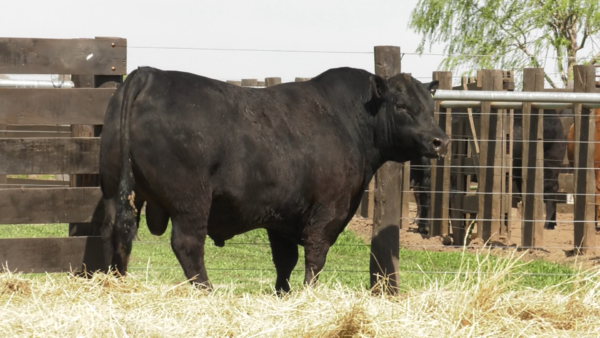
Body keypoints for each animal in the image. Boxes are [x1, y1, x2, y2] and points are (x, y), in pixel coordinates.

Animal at [98, 66, 448, 290]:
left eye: (430, 104)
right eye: (401, 105)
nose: (439, 140)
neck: (349, 120)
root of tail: (149, 73)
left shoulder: (282, 218)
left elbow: (285, 261)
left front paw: (284, 293)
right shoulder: (328, 211)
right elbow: (315, 256)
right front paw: (308, 293)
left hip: (115, 192)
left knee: (116, 234)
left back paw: (116, 281)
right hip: (191, 201)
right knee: (188, 245)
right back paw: (207, 291)